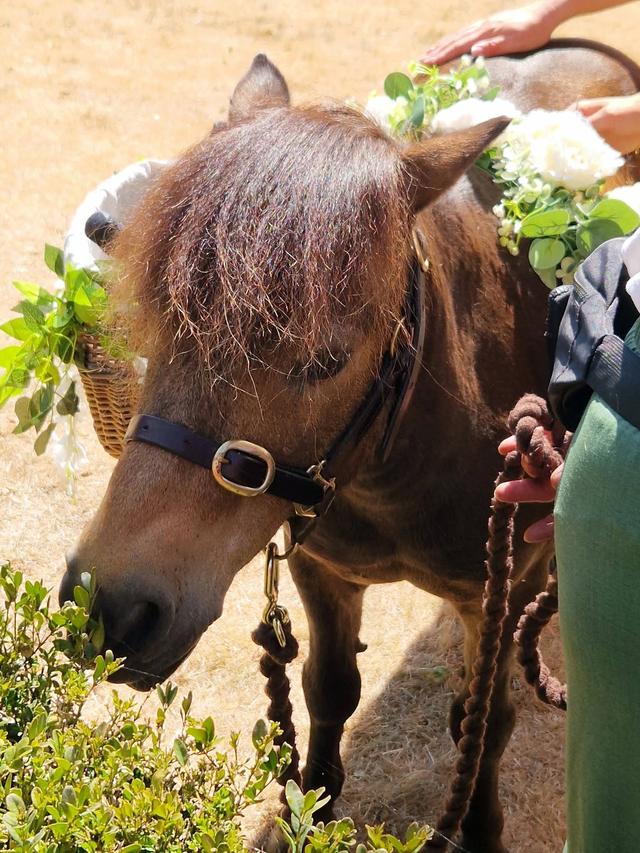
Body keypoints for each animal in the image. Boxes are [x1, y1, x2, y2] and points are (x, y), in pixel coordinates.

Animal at [60, 41, 640, 853]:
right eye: (158, 319)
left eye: (326, 360)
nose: (109, 607)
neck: (393, 474)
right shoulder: (323, 572)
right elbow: (328, 692)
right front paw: (312, 810)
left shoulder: (494, 592)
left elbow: (484, 724)